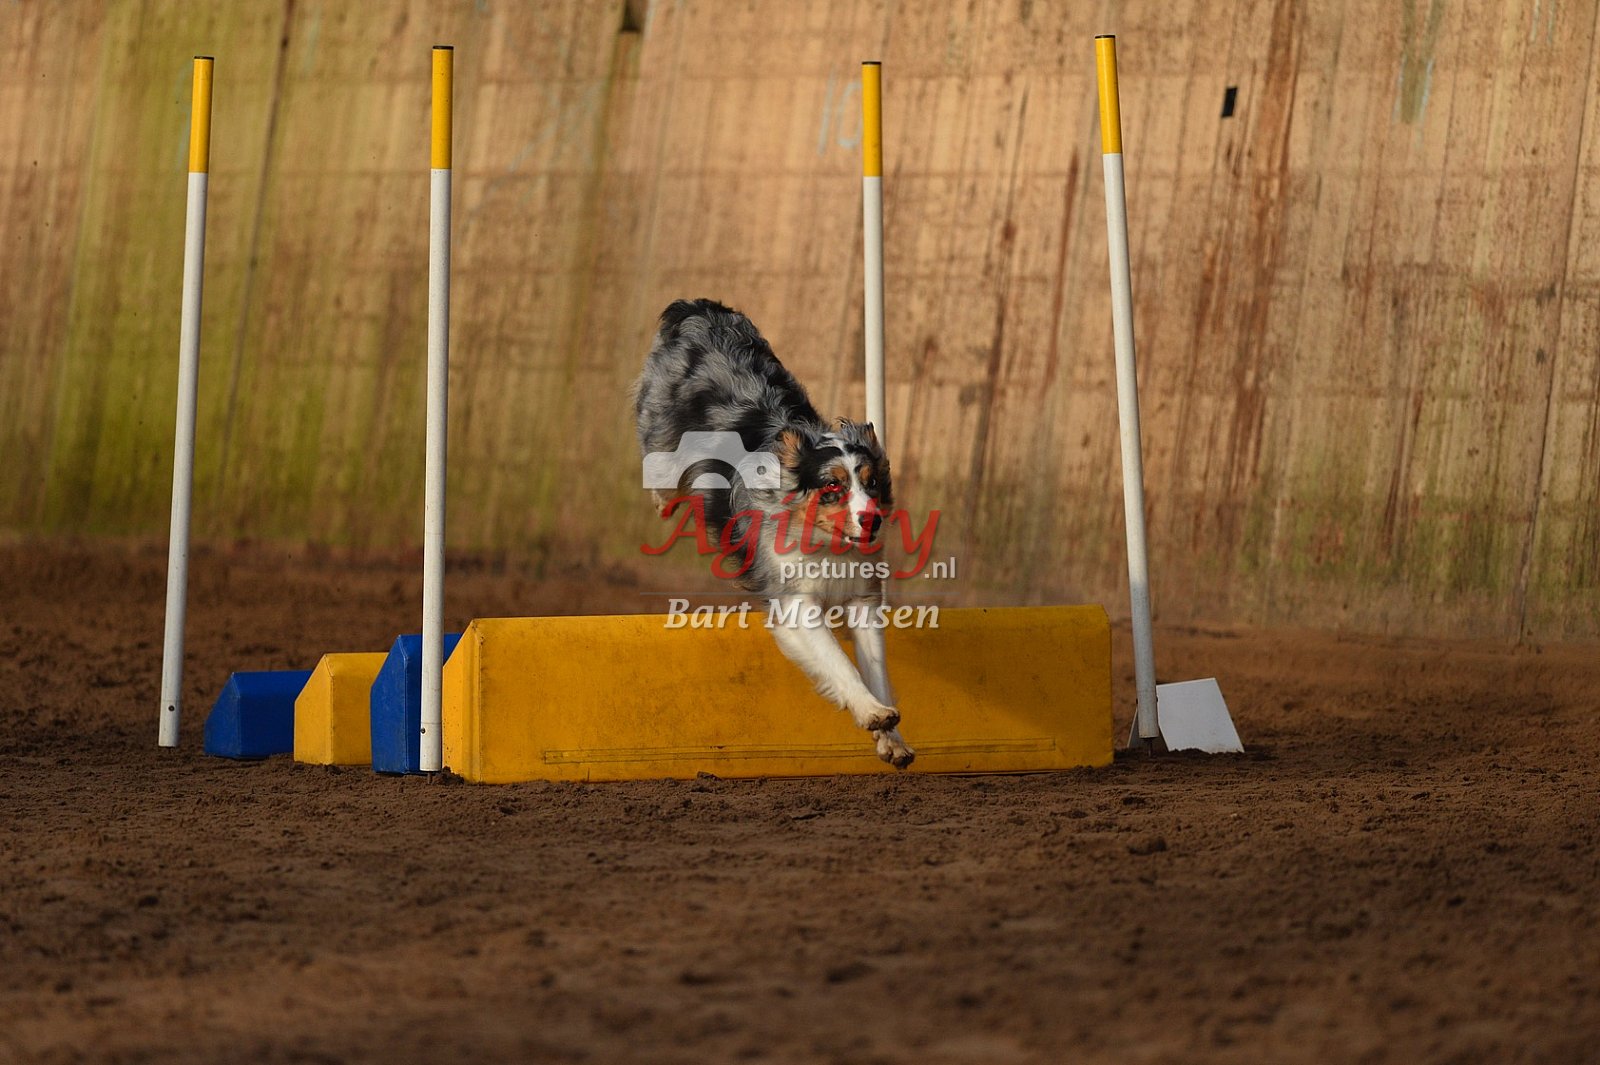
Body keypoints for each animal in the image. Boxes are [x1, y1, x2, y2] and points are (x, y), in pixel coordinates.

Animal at [633, 298, 915, 768]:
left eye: (872, 483)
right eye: (833, 486)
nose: (872, 520)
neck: (824, 546)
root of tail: (700, 308)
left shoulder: (862, 599)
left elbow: (879, 671)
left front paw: (892, 737)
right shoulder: (795, 603)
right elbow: (839, 662)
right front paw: (871, 712)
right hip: (661, 433)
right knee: (659, 466)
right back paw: (664, 500)